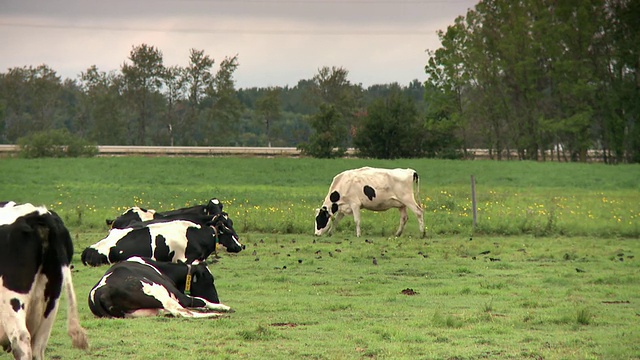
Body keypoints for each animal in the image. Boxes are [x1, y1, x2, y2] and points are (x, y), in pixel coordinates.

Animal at [88, 256, 230, 318]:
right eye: (209, 280)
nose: (216, 299)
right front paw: (223, 306)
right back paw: (215, 314)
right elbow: (202, 300)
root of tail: (100, 292)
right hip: (160, 295)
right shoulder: (179, 295)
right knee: (182, 312)